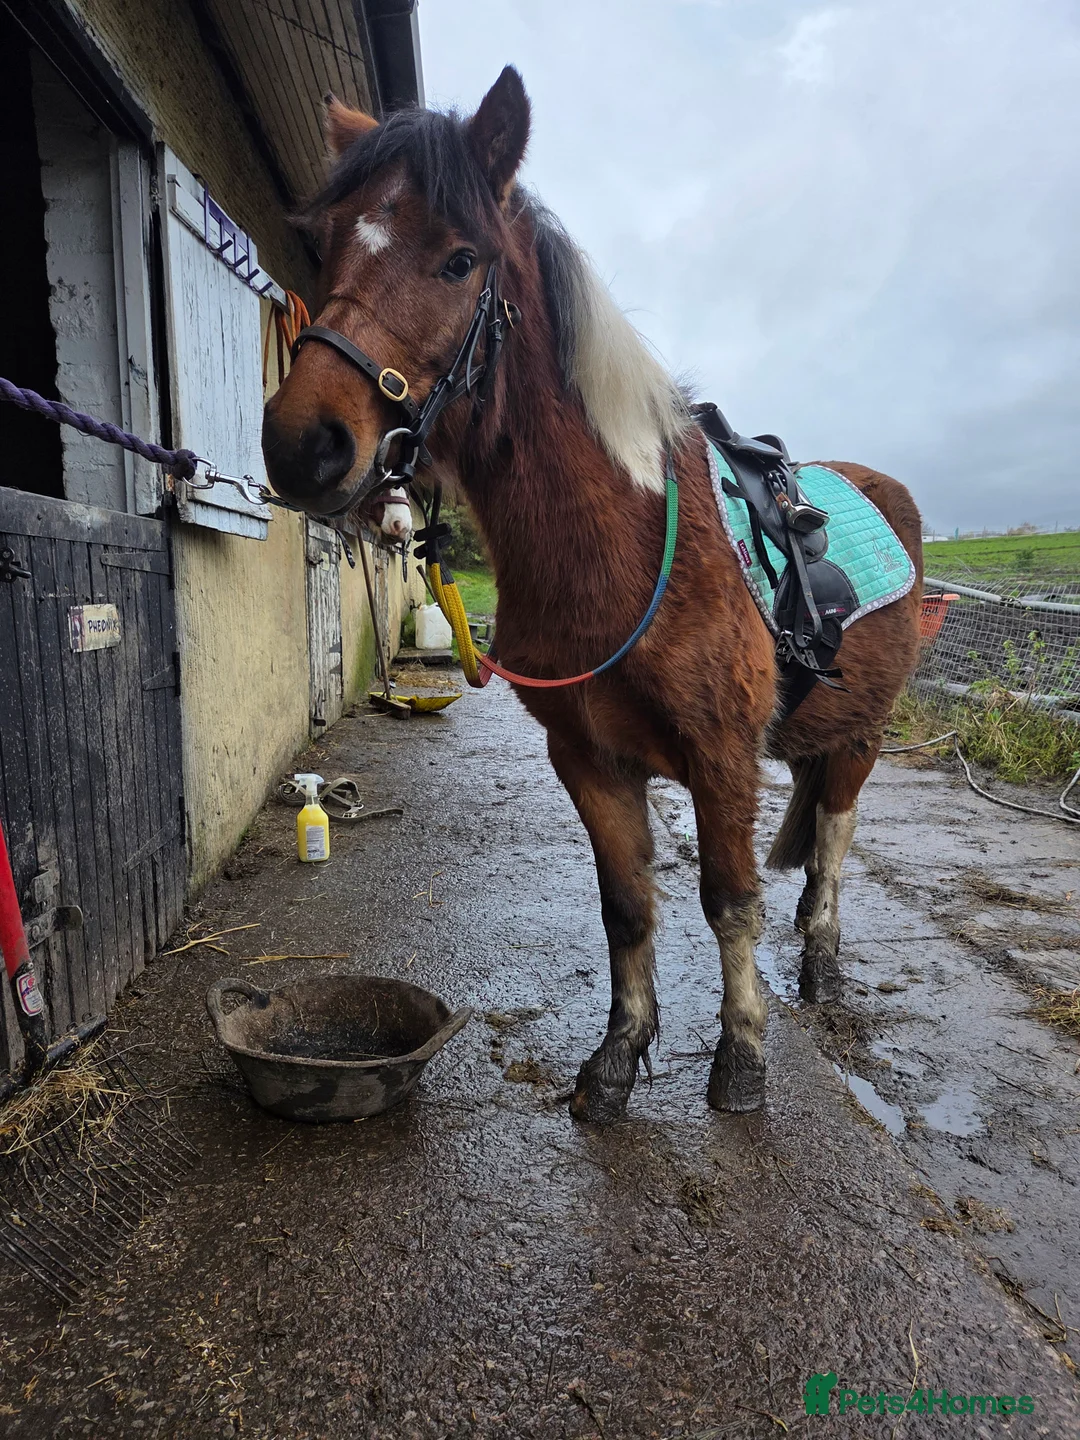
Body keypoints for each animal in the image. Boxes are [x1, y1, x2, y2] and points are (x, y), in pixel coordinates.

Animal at [262, 69, 923, 1125]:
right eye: (327, 248)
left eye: (460, 260)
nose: (302, 445)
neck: (621, 545)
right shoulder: (588, 759)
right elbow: (627, 906)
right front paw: (618, 1057)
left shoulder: (721, 759)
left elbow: (729, 901)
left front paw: (741, 1058)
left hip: (861, 735)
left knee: (832, 840)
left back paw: (821, 962)